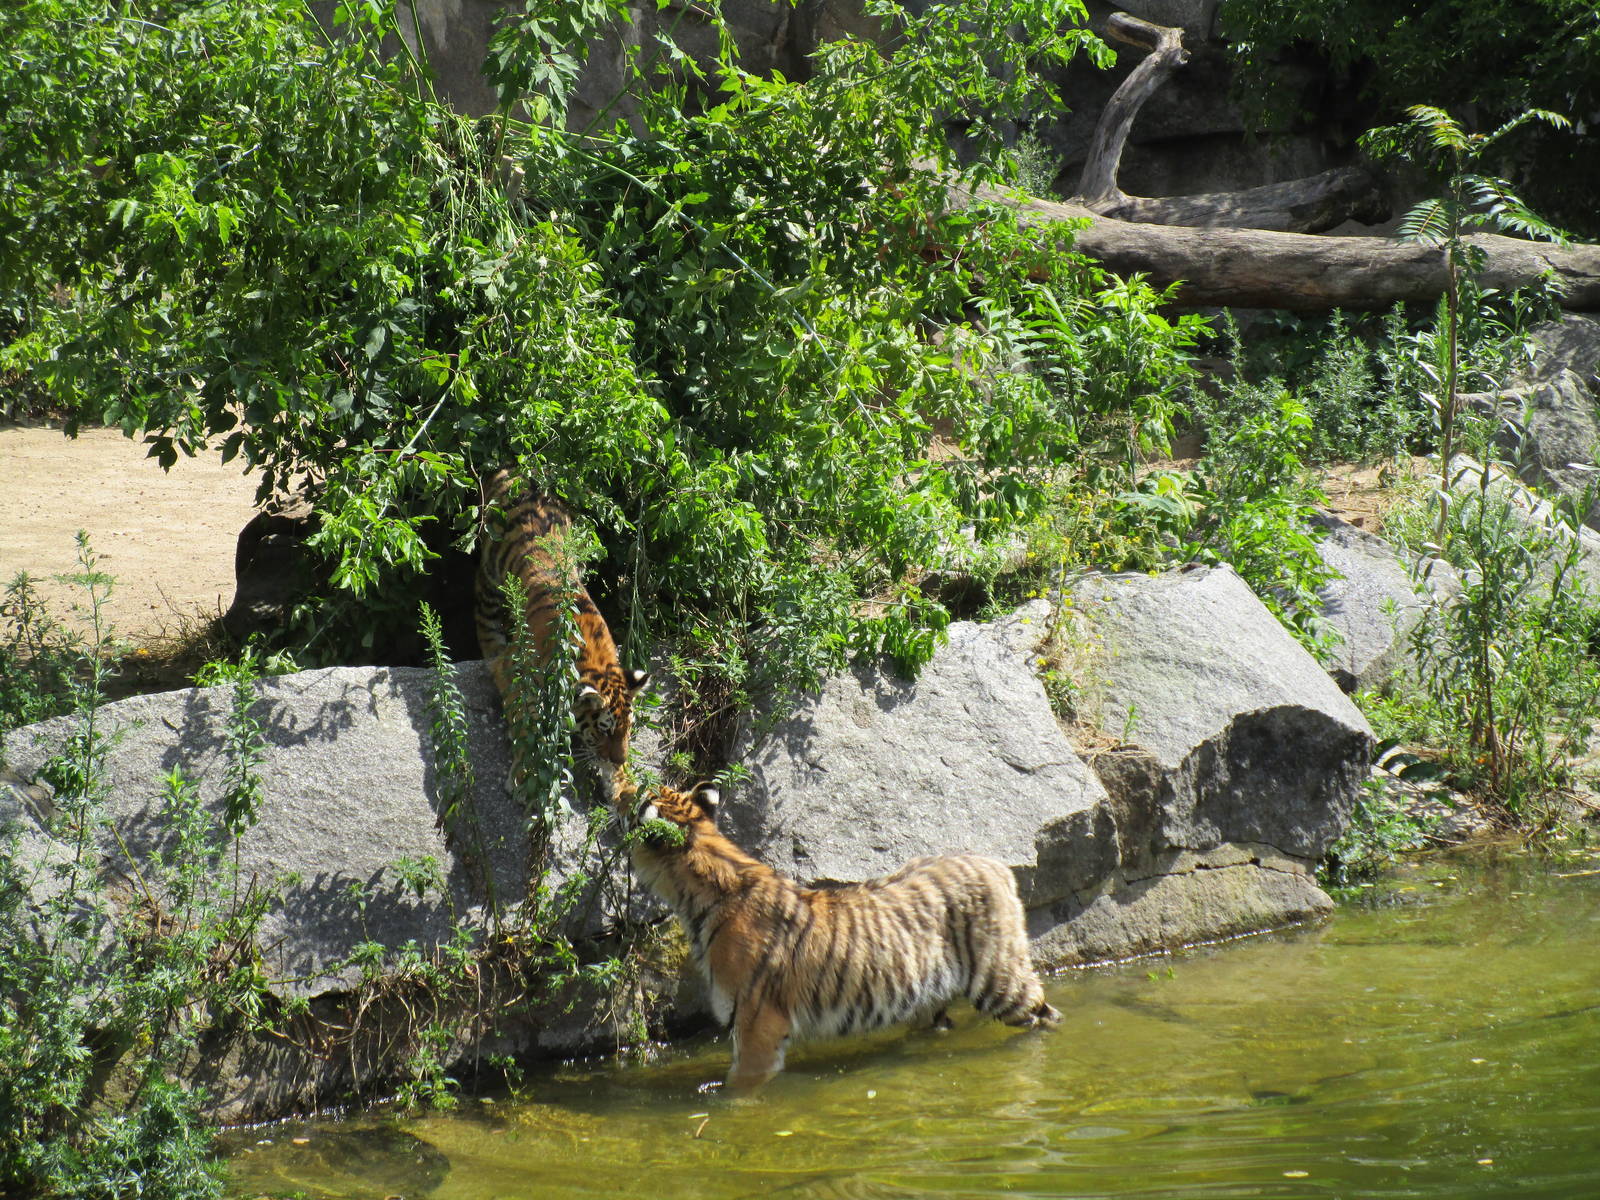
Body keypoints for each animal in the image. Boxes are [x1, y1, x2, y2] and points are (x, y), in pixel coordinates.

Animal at [475, 470, 647, 797]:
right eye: (604, 729)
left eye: (628, 729)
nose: (620, 759)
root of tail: (514, 470)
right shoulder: (517, 673)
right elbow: (525, 724)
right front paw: (524, 776)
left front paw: (624, 785)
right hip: (490, 575)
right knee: (484, 617)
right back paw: (490, 651)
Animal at [624, 781, 1061, 1093]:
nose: (624, 791)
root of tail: (995, 865)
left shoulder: (756, 1025)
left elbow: (738, 1088)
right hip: (929, 998)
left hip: (999, 979)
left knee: (1044, 1015)